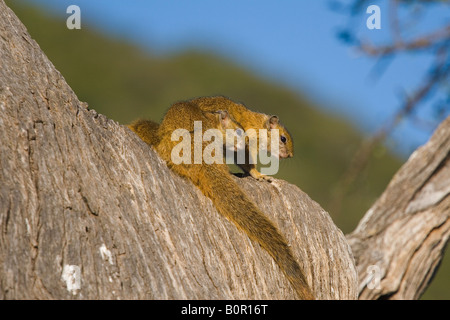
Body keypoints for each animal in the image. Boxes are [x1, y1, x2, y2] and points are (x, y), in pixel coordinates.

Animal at [128, 96, 314, 298]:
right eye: (283, 138)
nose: (290, 155)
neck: (255, 124)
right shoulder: (245, 144)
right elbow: (247, 163)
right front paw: (258, 175)